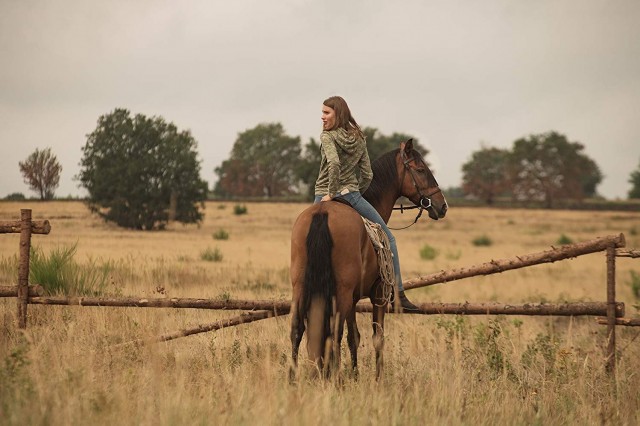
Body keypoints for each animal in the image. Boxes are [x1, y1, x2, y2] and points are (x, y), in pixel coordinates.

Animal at [292, 140, 450, 376]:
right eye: (421, 169)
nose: (442, 206)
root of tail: (323, 213)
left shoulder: (353, 300)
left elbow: (354, 338)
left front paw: (356, 374)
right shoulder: (378, 295)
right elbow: (377, 338)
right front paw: (378, 378)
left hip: (302, 288)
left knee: (298, 330)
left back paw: (293, 378)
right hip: (341, 293)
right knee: (333, 333)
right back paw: (334, 378)